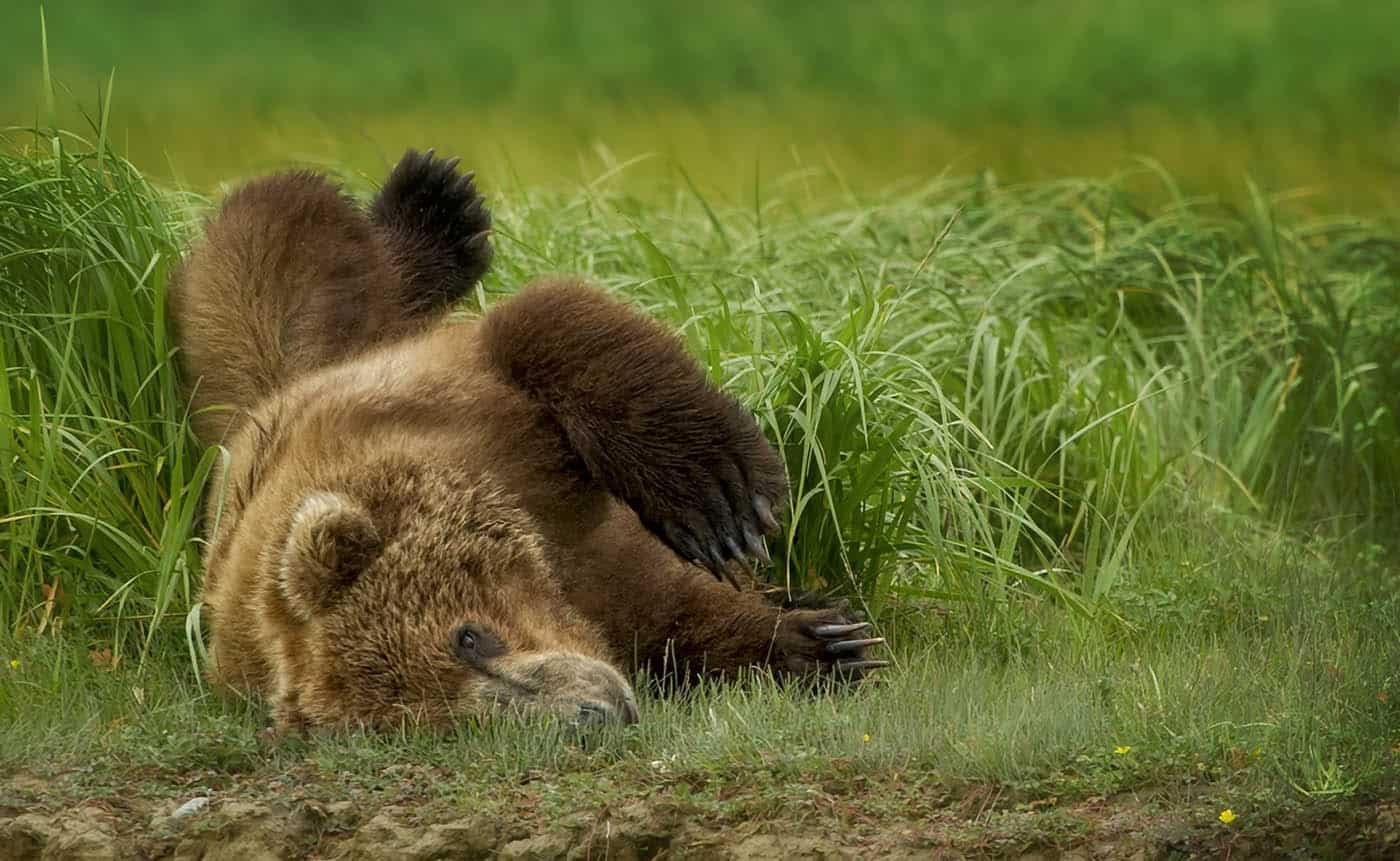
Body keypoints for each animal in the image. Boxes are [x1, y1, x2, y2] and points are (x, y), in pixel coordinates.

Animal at [172, 151, 884, 733]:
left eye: (468, 637)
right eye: (451, 722)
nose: (592, 712)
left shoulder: (465, 420)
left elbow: (544, 321)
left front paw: (724, 505)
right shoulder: (602, 603)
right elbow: (681, 622)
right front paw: (822, 638)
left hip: (298, 321)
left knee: (280, 223)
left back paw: (433, 207)